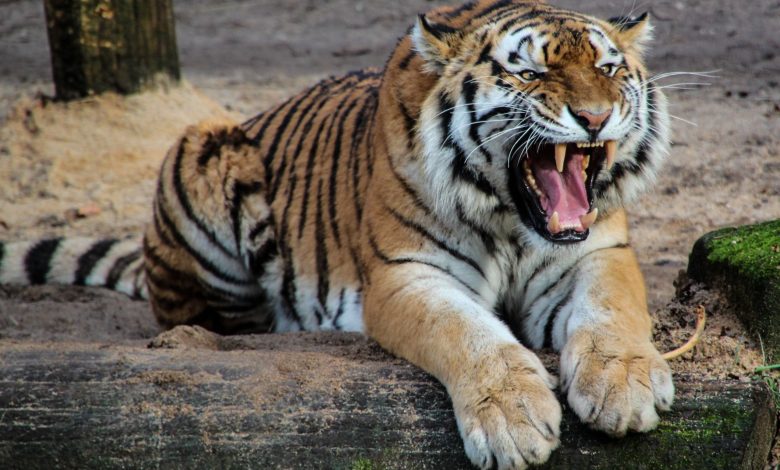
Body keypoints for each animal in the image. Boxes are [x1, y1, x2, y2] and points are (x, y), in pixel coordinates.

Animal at [0, 1, 674, 468]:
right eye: (531, 73)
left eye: (608, 68)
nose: (595, 117)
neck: (511, 219)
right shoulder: (405, 275)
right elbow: (468, 333)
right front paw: (512, 419)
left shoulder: (598, 252)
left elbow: (612, 310)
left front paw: (624, 386)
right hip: (203, 148)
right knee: (202, 318)